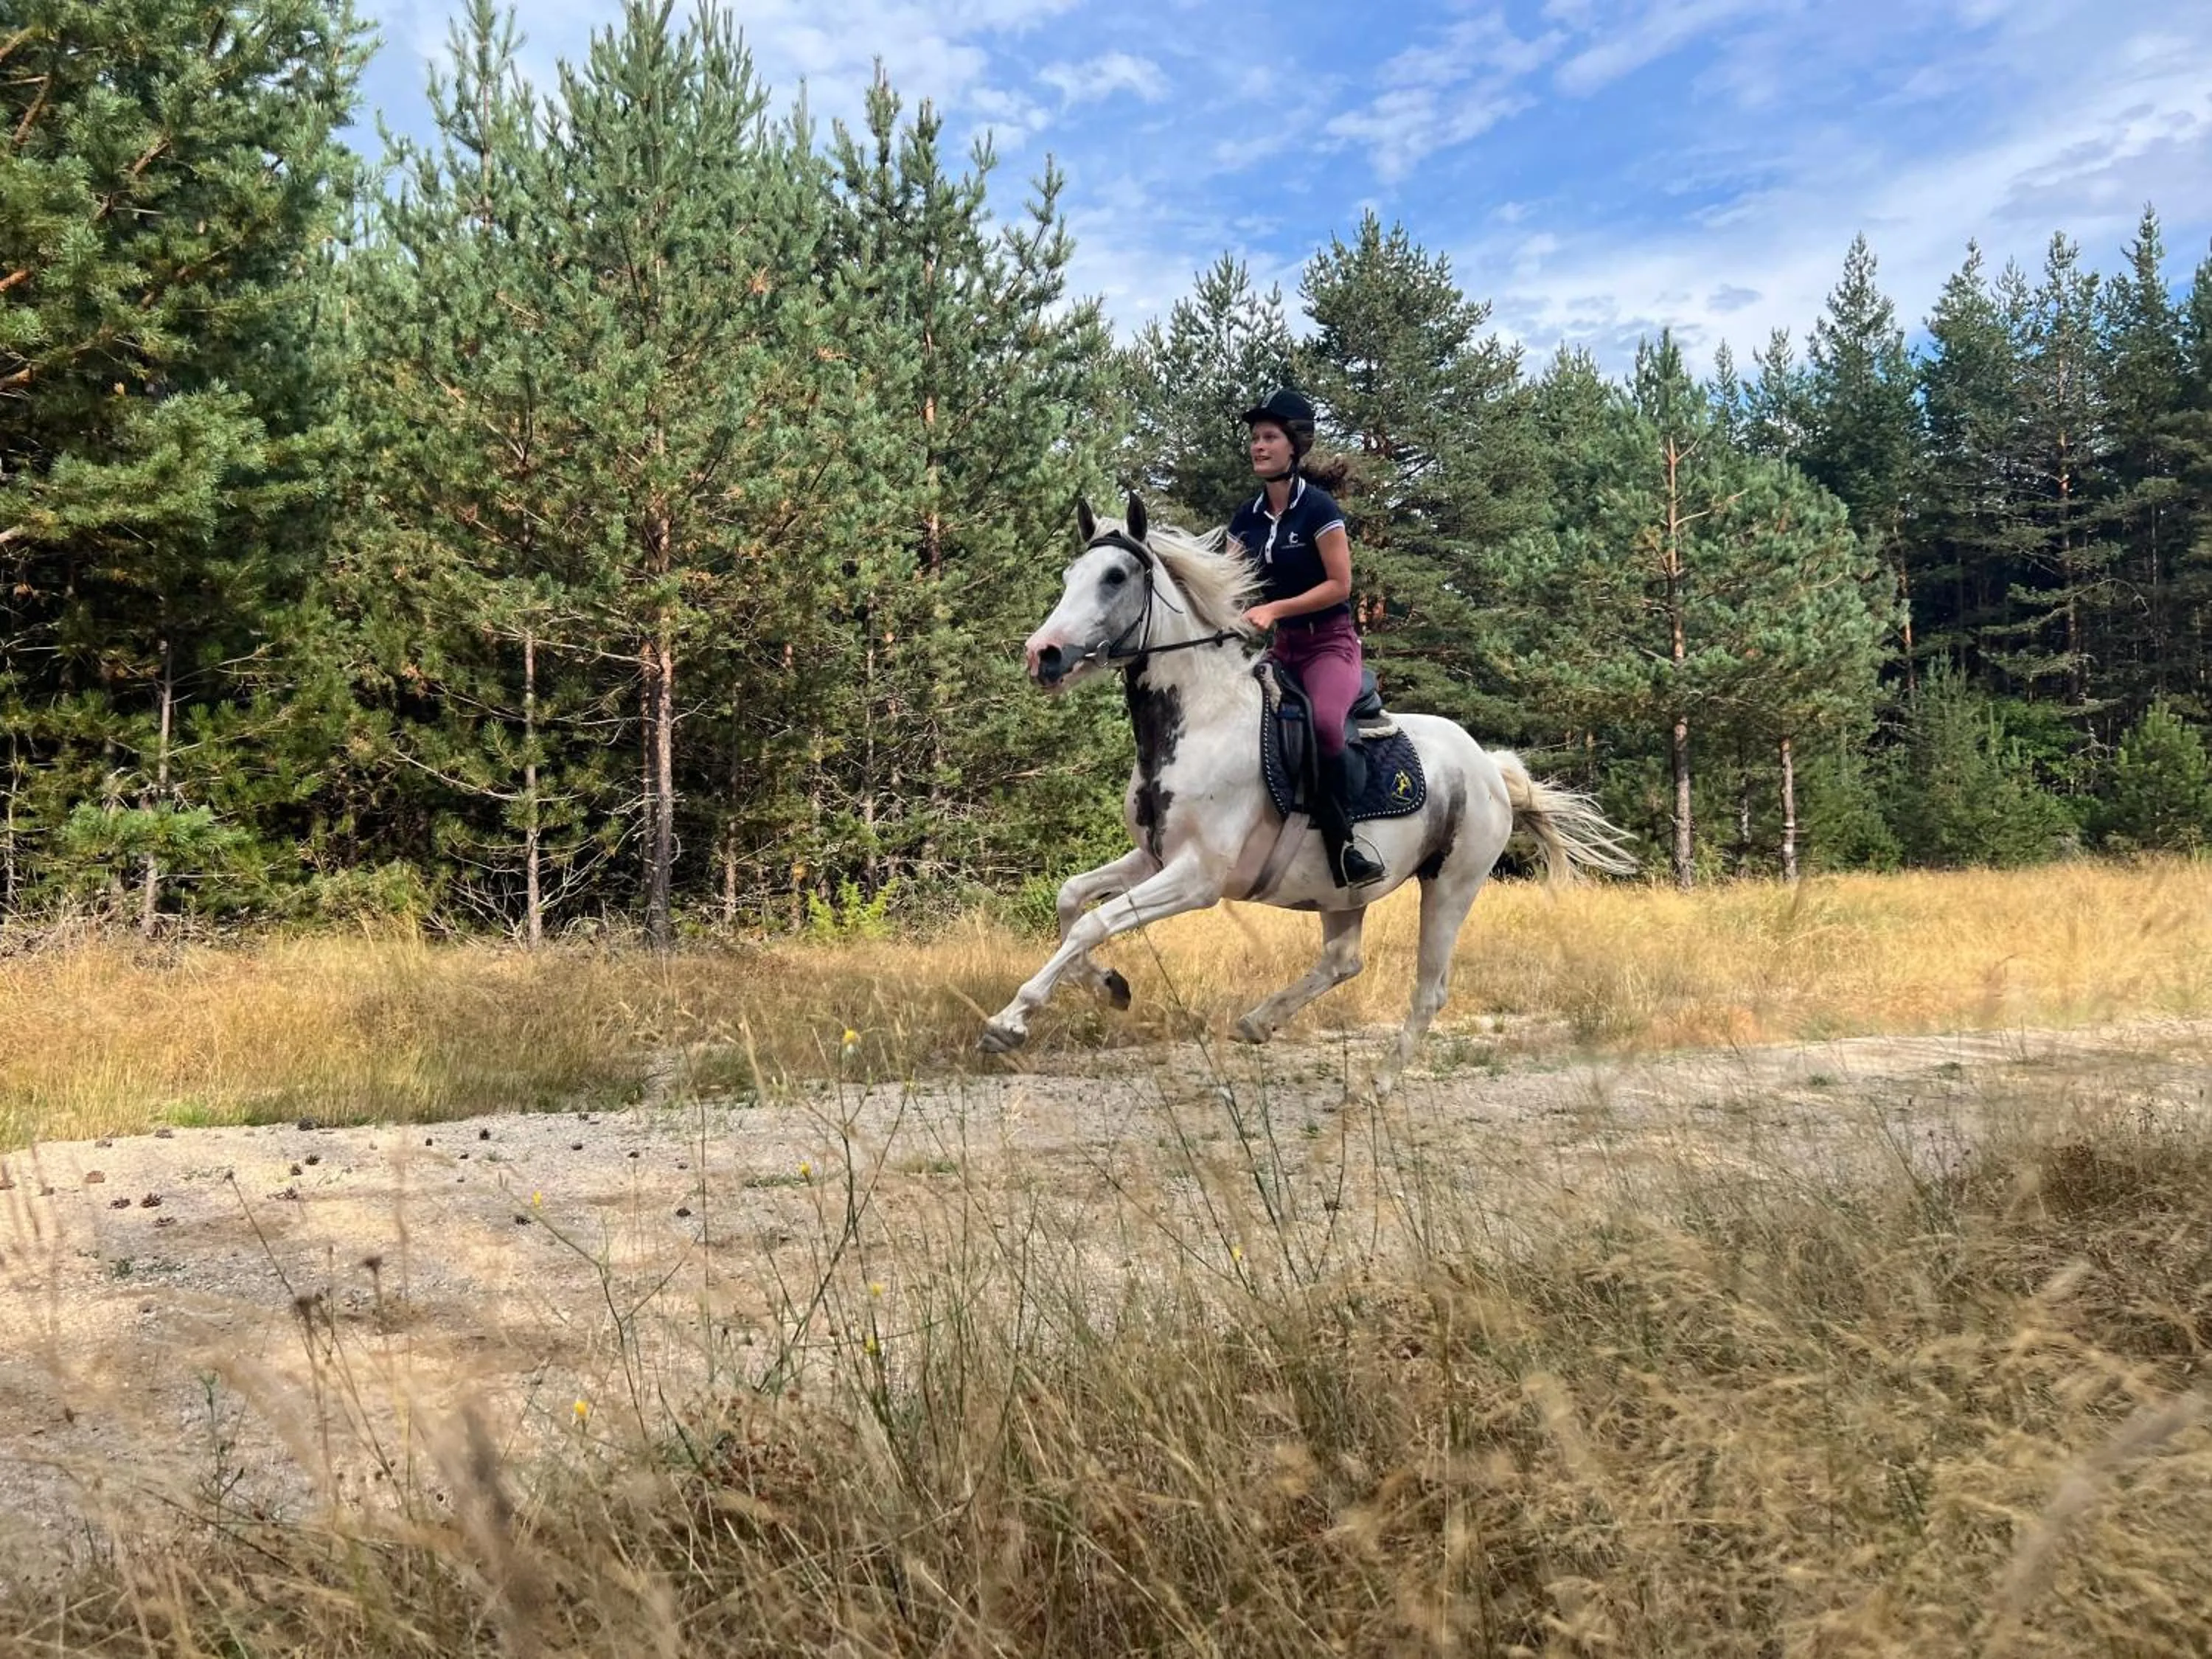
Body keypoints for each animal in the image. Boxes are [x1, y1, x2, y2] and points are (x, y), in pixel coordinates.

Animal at [980, 493, 1637, 1095]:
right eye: (1070, 575)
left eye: (1116, 577)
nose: (1042, 656)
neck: (1201, 720)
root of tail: (1488, 765)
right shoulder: (1153, 857)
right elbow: (1072, 901)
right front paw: (1108, 985)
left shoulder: (1197, 877)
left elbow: (1095, 922)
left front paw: (1009, 1022)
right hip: (1345, 889)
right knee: (1343, 961)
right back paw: (1258, 1021)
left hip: (1452, 885)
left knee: (1429, 989)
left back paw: (1378, 1082)